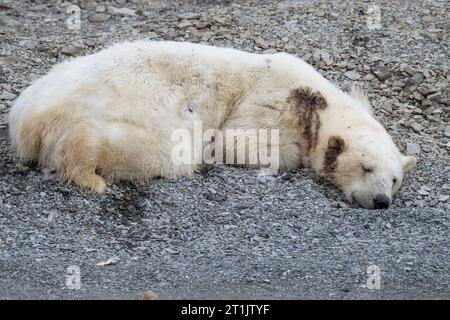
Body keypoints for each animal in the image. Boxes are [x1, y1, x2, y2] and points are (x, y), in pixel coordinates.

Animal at [7, 40, 414, 209]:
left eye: (395, 180)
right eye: (366, 167)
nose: (381, 201)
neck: (313, 100)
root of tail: (29, 116)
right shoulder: (265, 104)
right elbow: (239, 141)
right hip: (141, 107)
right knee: (166, 151)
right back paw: (87, 169)